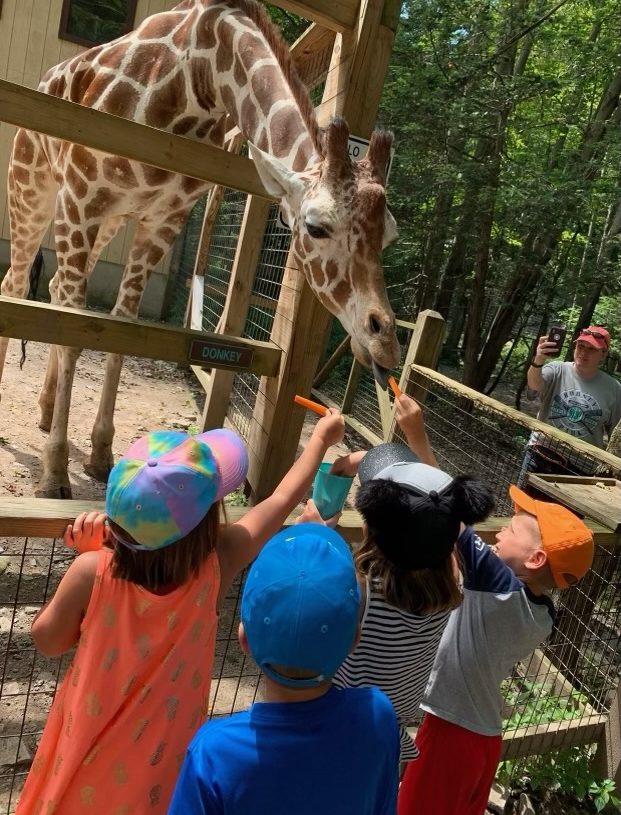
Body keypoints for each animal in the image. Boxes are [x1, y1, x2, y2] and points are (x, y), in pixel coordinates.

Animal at [0, 0, 398, 498]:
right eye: (316, 226)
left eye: (390, 235)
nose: (385, 342)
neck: (204, 71)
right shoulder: (83, 194)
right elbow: (74, 331)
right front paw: (54, 475)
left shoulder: (162, 219)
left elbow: (119, 330)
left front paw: (100, 454)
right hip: (34, 186)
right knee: (16, 284)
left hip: (108, 220)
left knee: (53, 287)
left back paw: (47, 407)